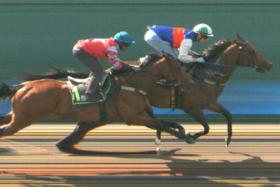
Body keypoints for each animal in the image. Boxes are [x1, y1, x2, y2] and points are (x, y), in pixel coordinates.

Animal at [0, 54, 192, 153]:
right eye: (177, 67)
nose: (187, 83)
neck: (133, 84)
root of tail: (22, 86)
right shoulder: (134, 117)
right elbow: (161, 125)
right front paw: (186, 137)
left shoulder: (142, 114)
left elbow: (166, 123)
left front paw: (184, 131)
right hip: (24, 118)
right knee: (4, 130)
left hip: (16, 115)